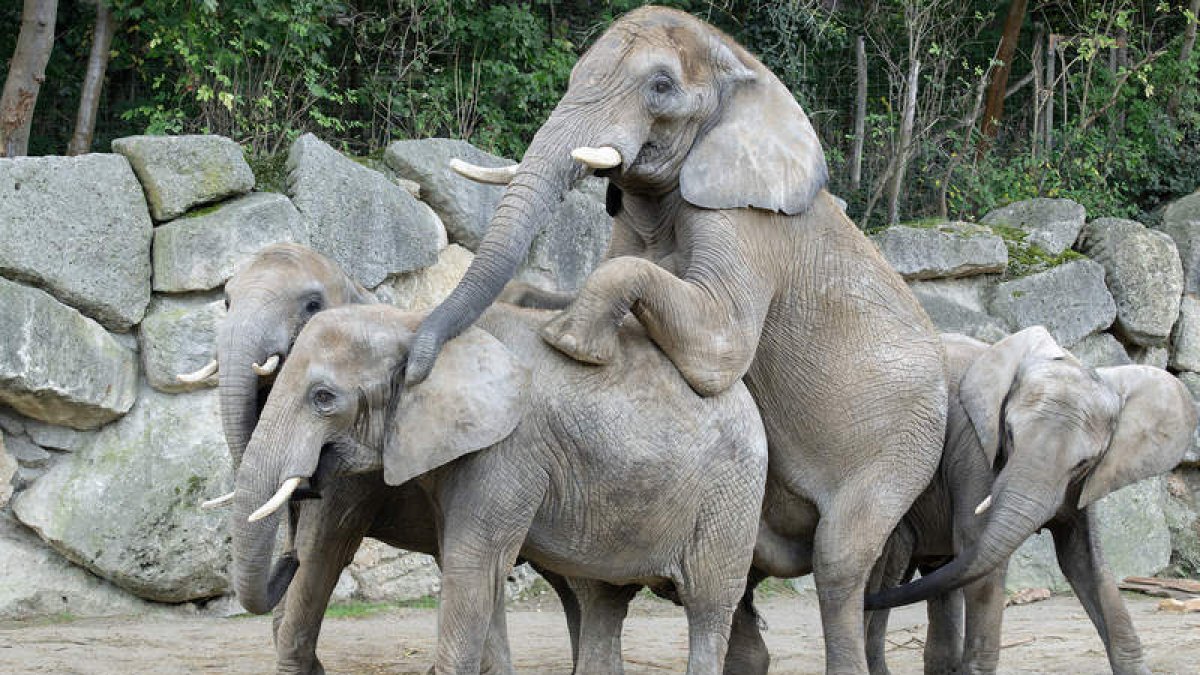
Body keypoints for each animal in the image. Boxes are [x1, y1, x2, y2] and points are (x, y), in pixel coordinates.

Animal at [231, 300, 769, 675]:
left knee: (707, 607)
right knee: (603, 601)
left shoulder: (509, 451)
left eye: (324, 398)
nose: (287, 558)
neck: (419, 322)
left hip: (731, 496)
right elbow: (471, 567)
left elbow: (474, 565)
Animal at [404, 6, 948, 672]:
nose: (414, 367)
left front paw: (569, 342)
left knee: (839, 562)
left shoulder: (746, 222)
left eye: (660, 86)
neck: (744, 71)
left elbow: (720, 348)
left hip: (901, 443)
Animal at [858, 327, 1197, 675]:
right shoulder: (975, 450)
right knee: (892, 569)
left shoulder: (1087, 482)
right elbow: (979, 554)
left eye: (1084, 462)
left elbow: (1085, 560)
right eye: (1008, 433)